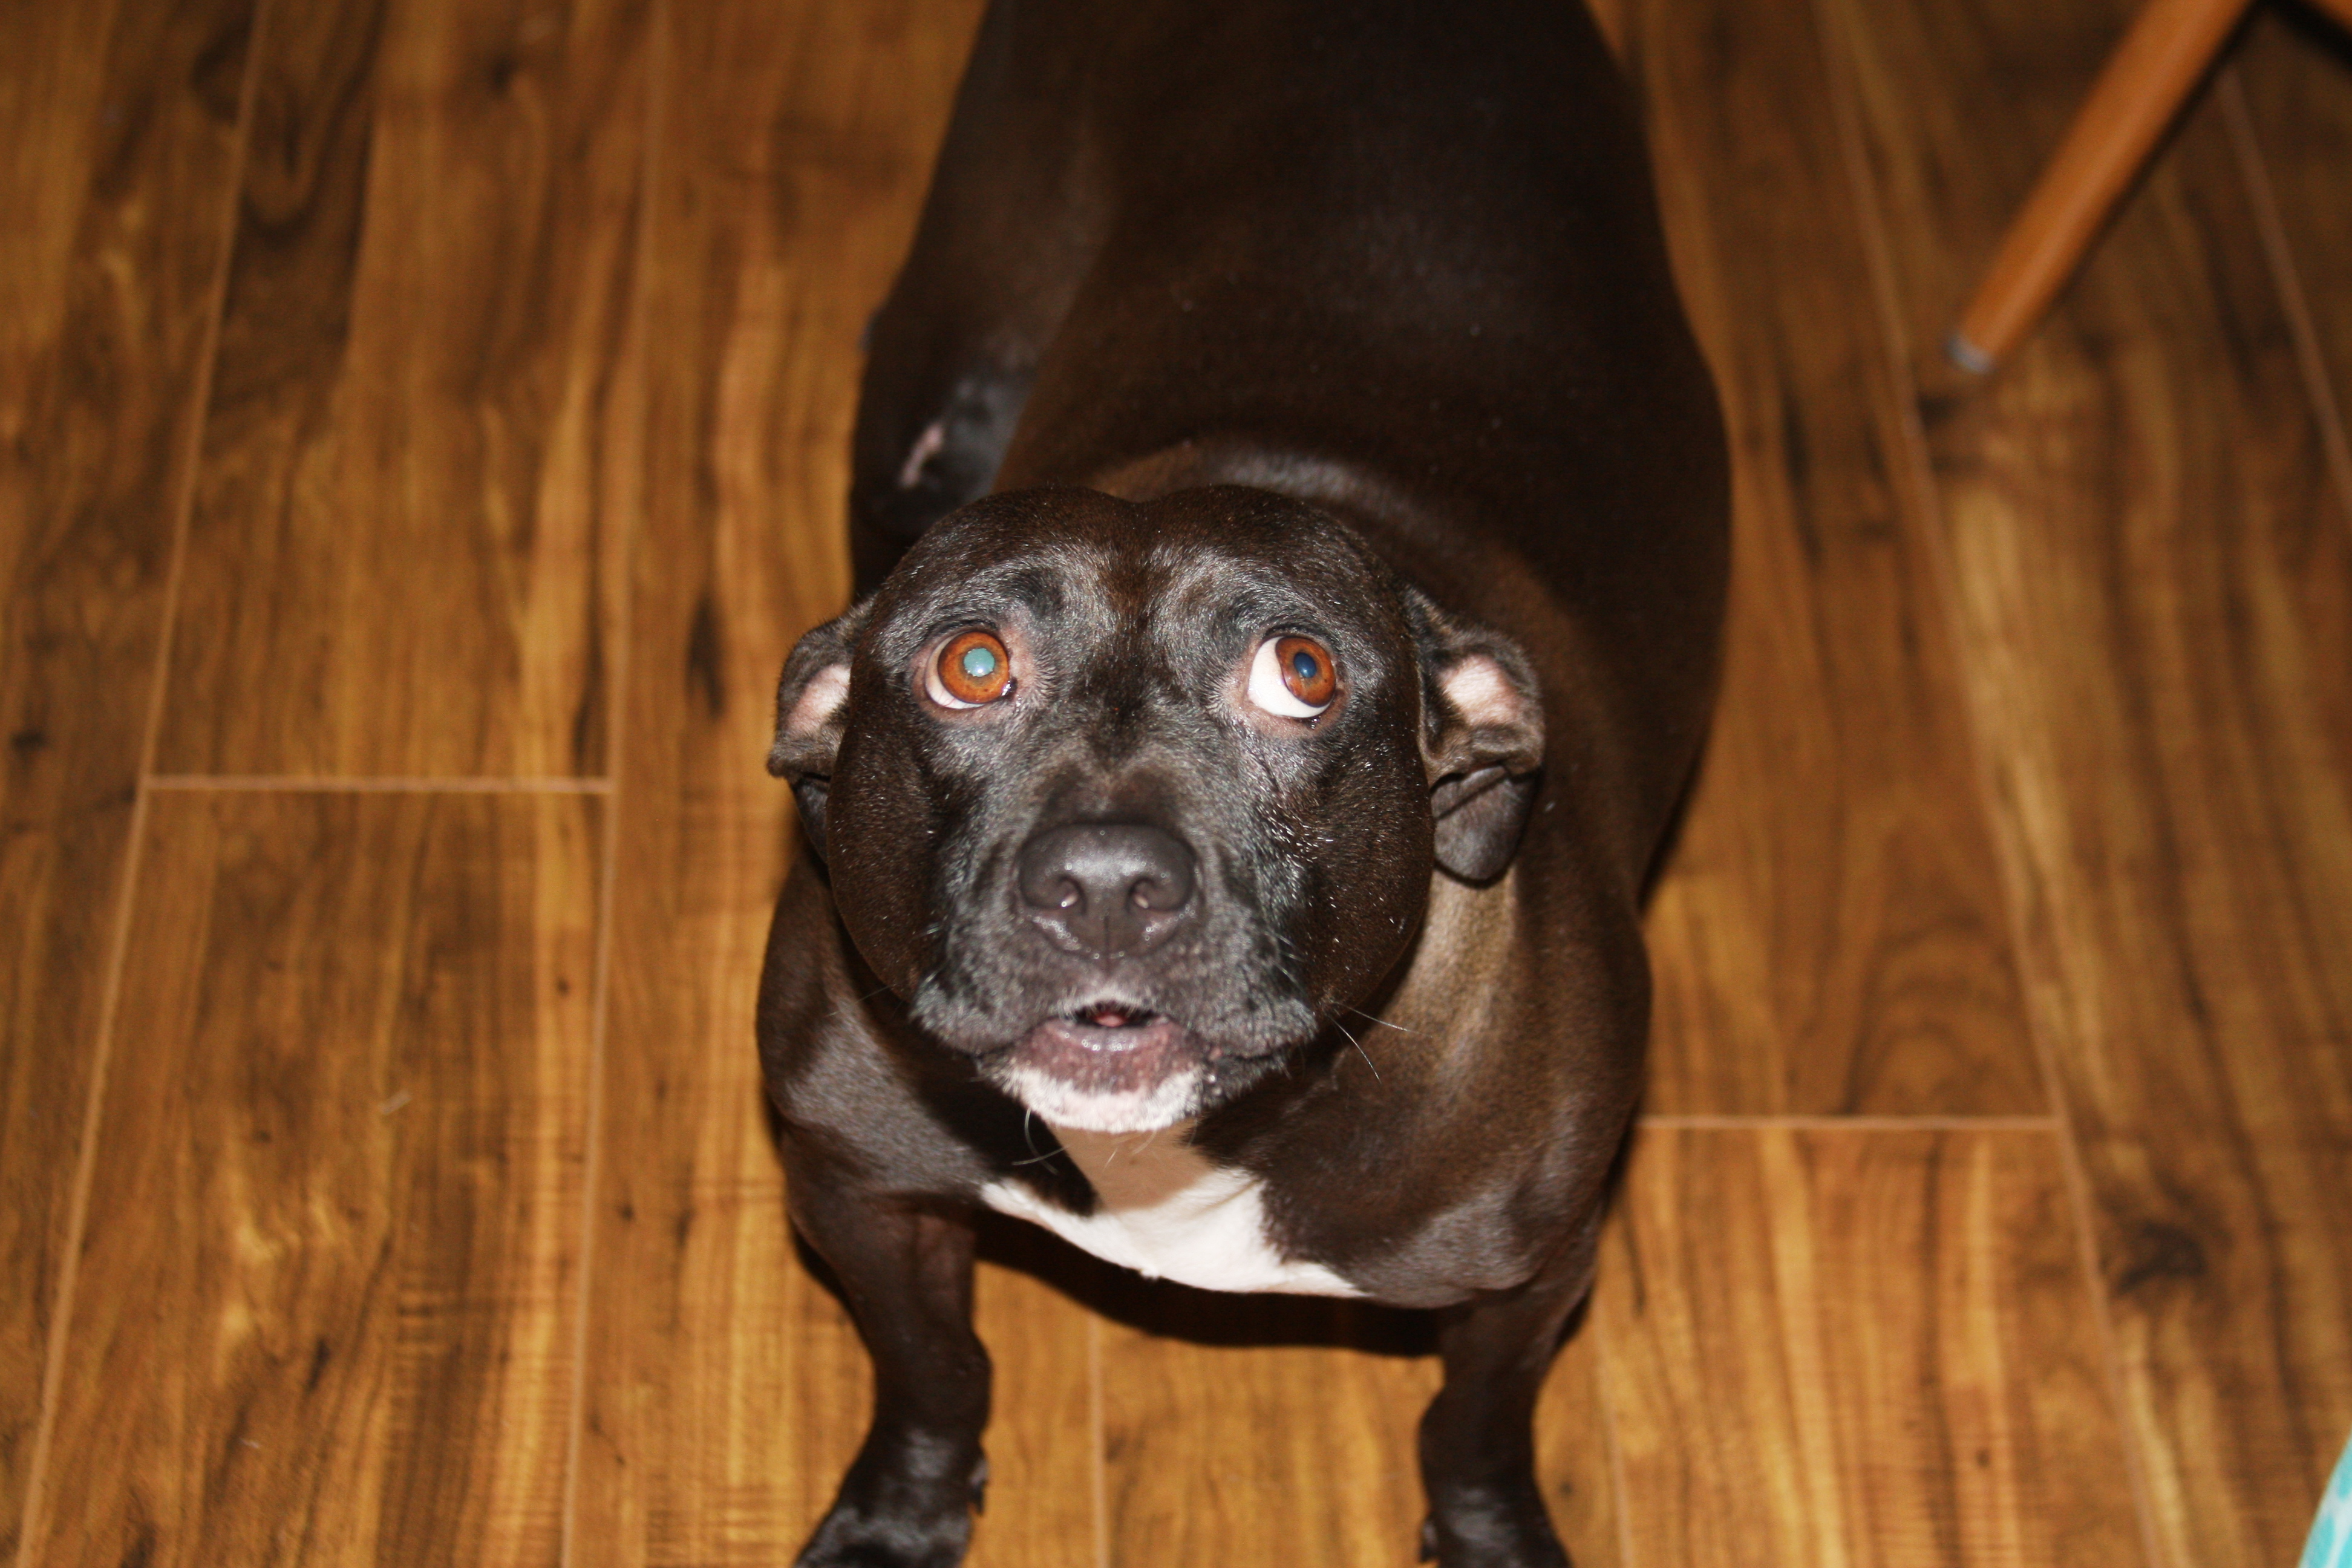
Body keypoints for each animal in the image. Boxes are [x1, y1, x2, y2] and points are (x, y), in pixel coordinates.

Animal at [758, 1, 1727, 1563]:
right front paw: (902, 1517)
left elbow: (1472, 1433)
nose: (1105, 887)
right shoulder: (856, 1187)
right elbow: (934, 1370)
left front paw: (1487, 1533)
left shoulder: (1530, 1282)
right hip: (923, 404)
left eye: (1303, 672)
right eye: (971, 664)